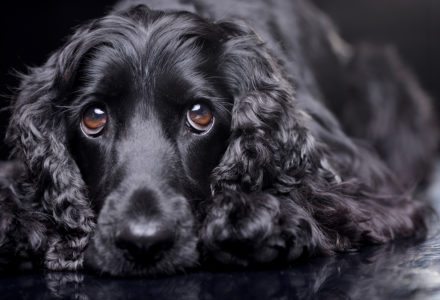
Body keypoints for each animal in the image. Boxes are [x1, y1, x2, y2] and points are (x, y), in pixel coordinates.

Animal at [0, 0, 436, 276]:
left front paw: (256, 214)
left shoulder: (371, 185)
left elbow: (328, 199)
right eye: (94, 118)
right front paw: (14, 219)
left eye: (200, 115)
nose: (143, 243)